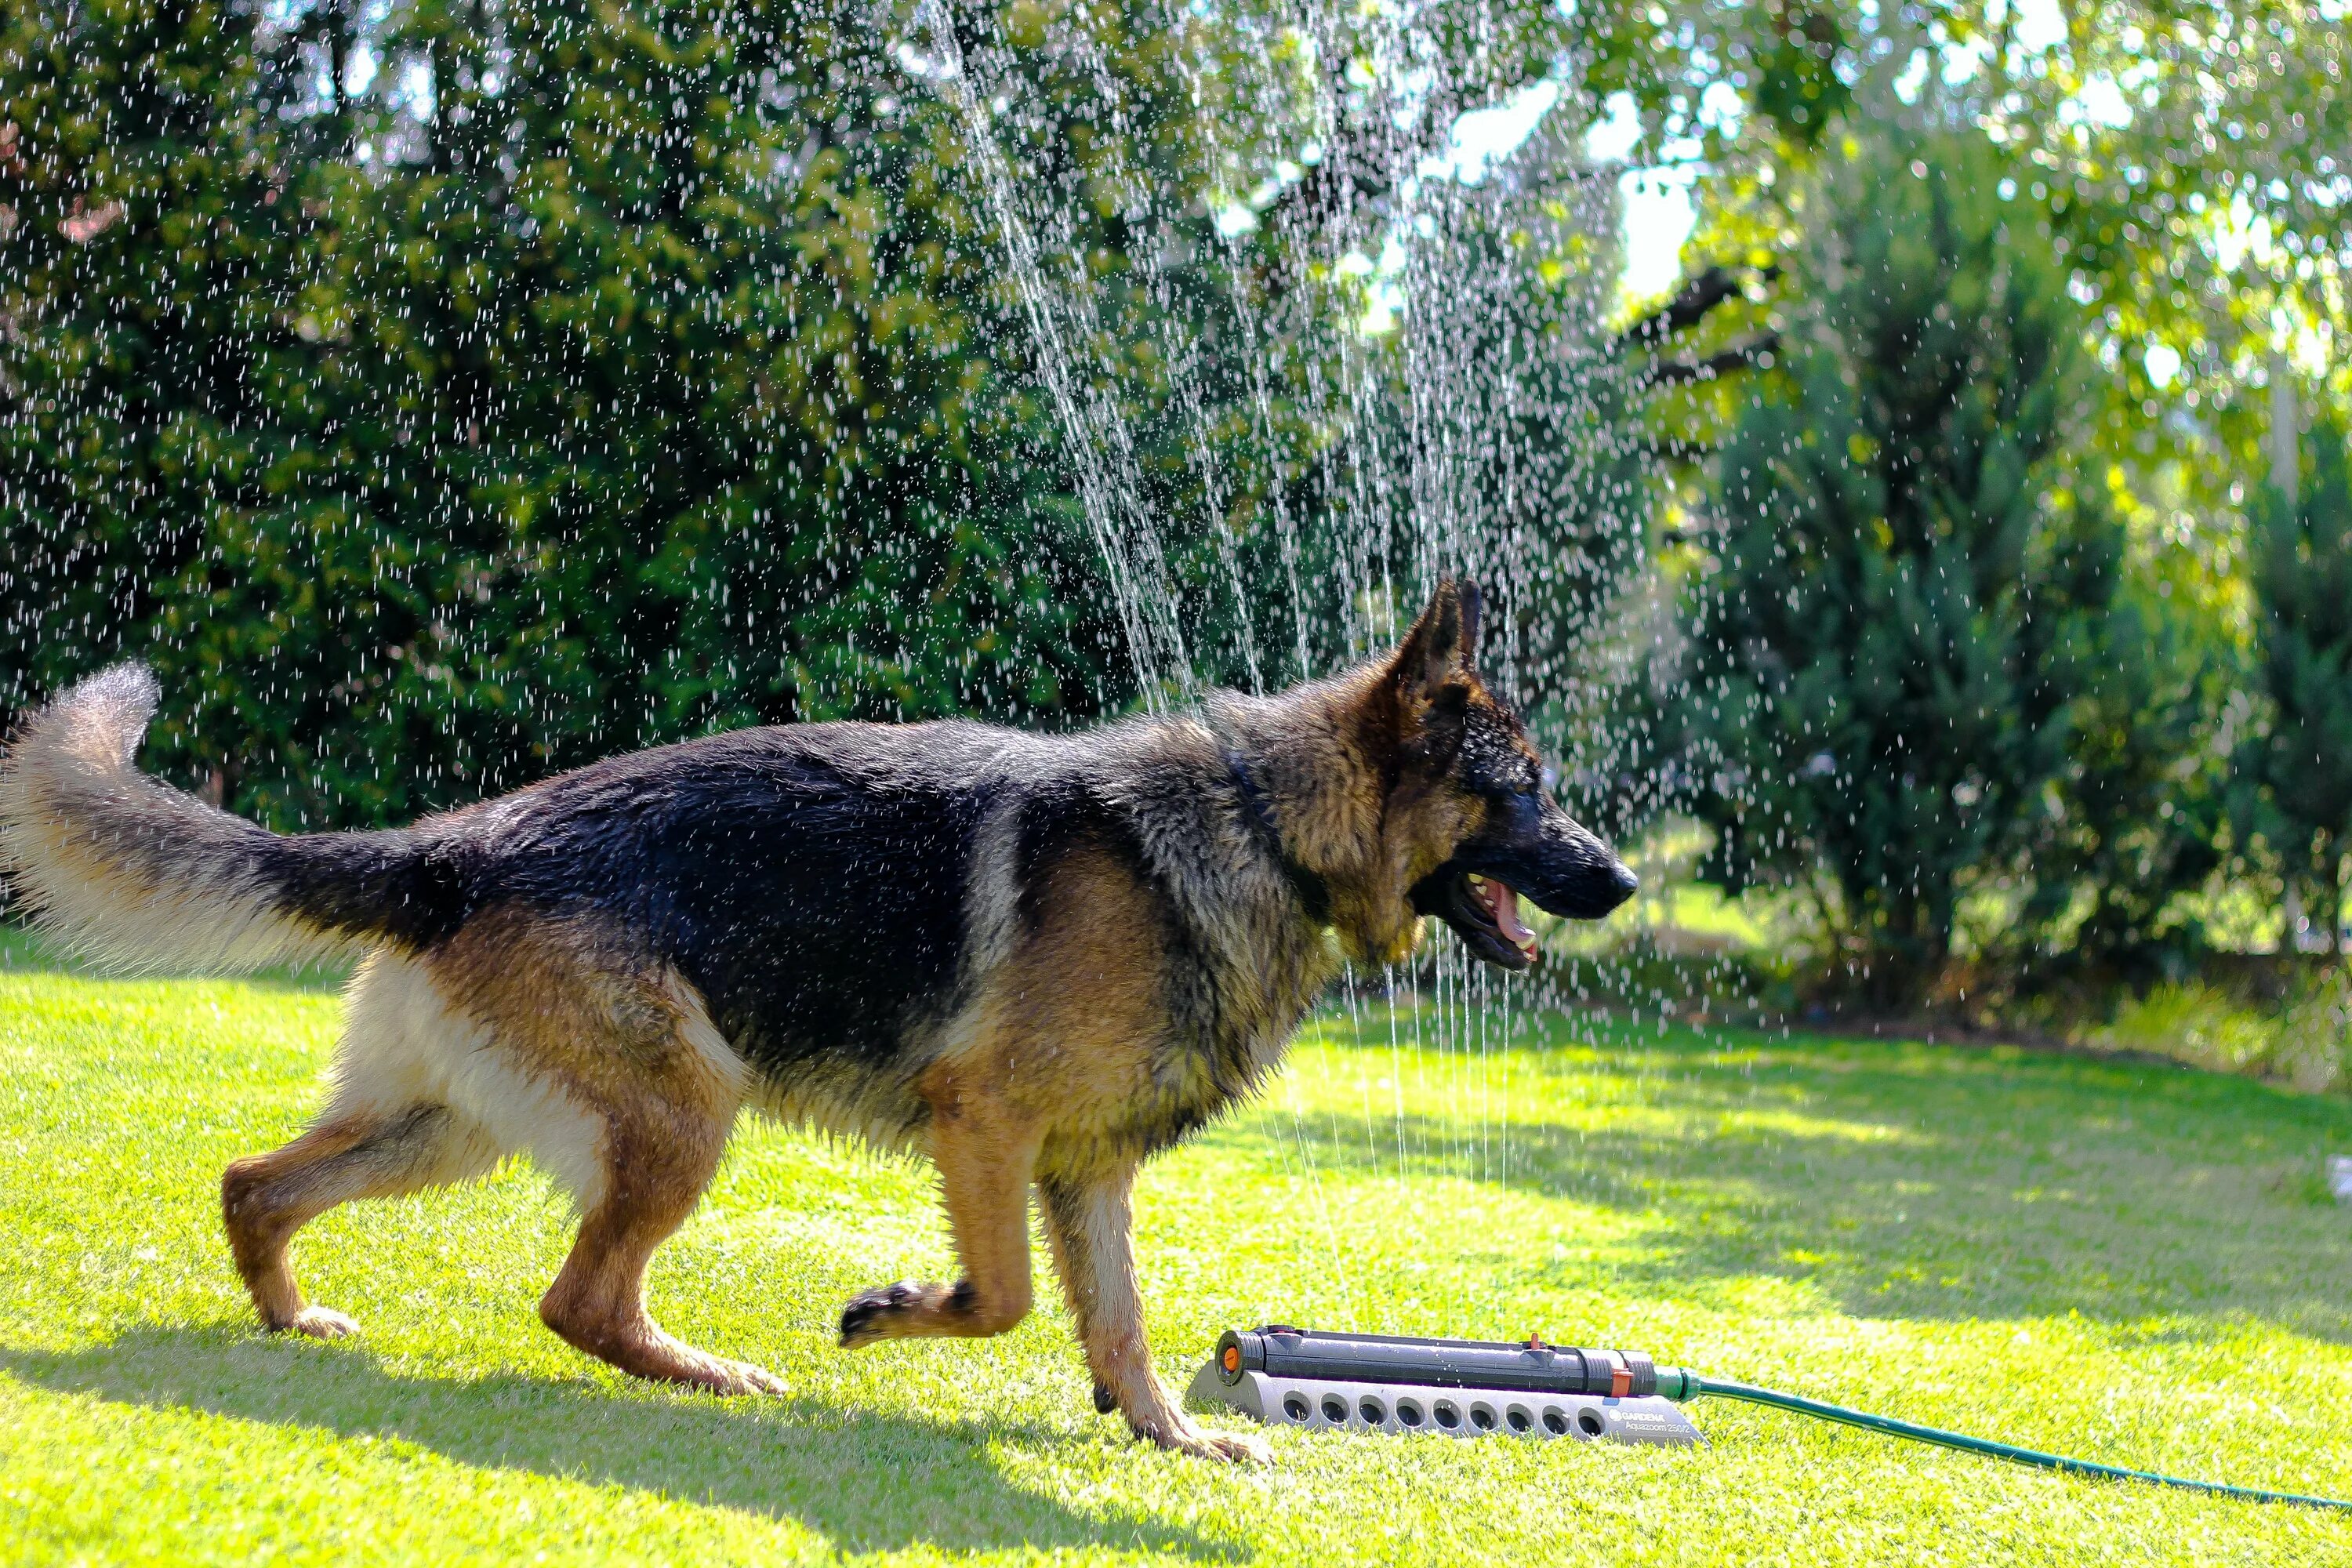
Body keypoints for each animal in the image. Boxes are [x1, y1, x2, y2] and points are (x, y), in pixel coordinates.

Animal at [0, 583, 1637, 1467]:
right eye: (1525, 793)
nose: (1622, 880)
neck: (1261, 826)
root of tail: (451, 844)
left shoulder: (1086, 1171)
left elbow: (1115, 1320)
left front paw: (1167, 1437)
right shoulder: (986, 1123)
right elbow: (1009, 1299)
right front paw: (891, 1312)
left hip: (450, 1127)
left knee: (255, 1183)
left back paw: (290, 1321)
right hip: (684, 1112)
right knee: (575, 1302)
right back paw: (714, 1378)